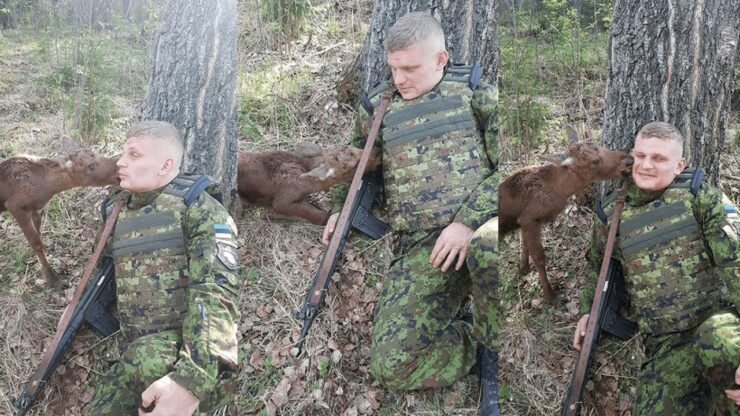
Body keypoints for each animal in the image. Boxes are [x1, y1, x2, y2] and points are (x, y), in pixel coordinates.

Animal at [0, 136, 118, 286]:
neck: (49, 187)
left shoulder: (34, 208)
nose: (118, 166)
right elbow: (35, 242)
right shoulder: (15, 206)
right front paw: (53, 281)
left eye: (96, 154)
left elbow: (39, 236)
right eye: (91, 166)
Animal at [498, 142, 632, 302]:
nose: (629, 160)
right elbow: (539, 258)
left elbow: (524, 245)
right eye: (594, 161)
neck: (560, 190)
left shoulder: (523, 221)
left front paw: (523, 269)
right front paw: (550, 297)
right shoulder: (529, 220)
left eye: (600, 146)